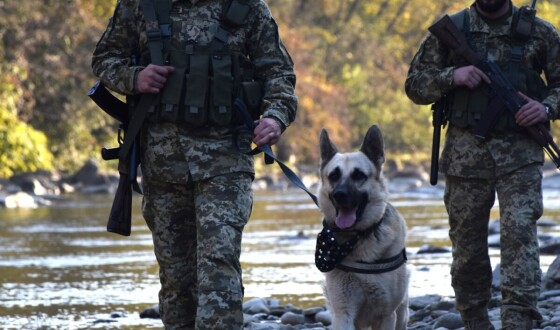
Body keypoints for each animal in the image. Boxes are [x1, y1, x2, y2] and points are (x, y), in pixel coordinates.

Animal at [312, 124, 410, 330]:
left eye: (358, 175)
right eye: (334, 176)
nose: (340, 195)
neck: (357, 237)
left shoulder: (386, 315)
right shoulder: (343, 313)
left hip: (401, 315)